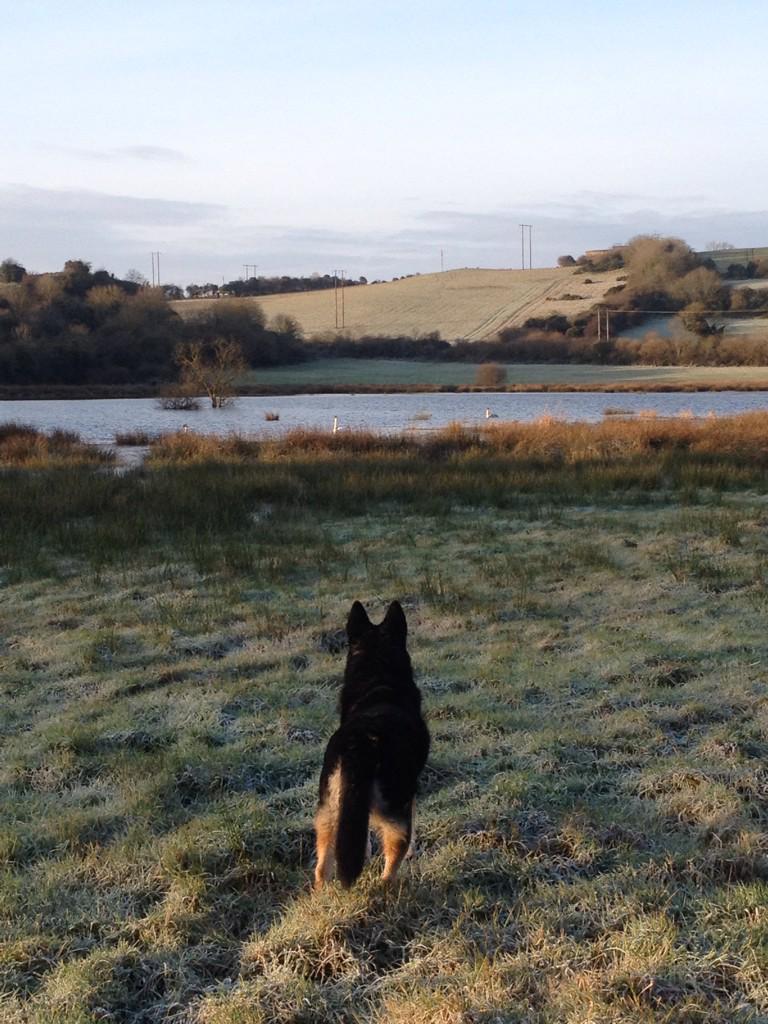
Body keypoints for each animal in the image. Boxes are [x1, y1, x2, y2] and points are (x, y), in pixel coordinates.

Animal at [313, 598, 434, 888]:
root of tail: (361, 742)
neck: (378, 680)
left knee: (322, 867)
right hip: (394, 808)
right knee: (395, 853)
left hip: (329, 809)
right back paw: (387, 885)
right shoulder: (409, 793)